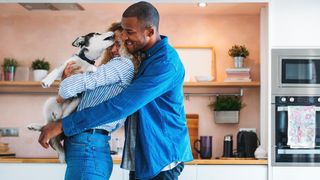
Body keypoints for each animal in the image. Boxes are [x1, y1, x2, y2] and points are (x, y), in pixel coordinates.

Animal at [27, 31, 115, 163]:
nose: (112, 33)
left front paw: (92, 68)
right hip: (50, 101)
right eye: (97, 34)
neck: (86, 59)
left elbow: (89, 70)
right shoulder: (67, 64)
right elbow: (56, 71)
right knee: (46, 124)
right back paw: (35, 126)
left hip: (75, 104)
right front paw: (46, 81)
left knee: (61, 120)